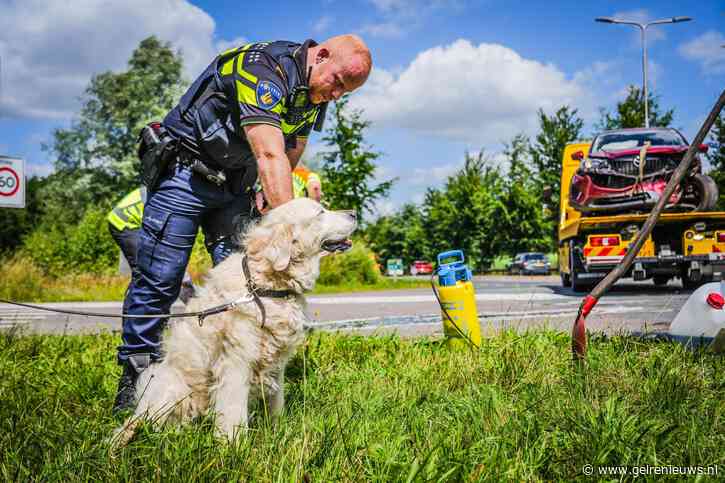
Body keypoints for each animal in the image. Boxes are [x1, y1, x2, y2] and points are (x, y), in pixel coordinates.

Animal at [112, 199, 356, 448]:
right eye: (320, 213)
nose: (354, 213)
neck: (263, 287)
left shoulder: (276, 365)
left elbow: (275, 405)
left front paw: (277, 432)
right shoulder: (236, 362)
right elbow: (233, 412)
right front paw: (233, 446)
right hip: (171, 390)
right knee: (138, 421)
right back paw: (120, 441)